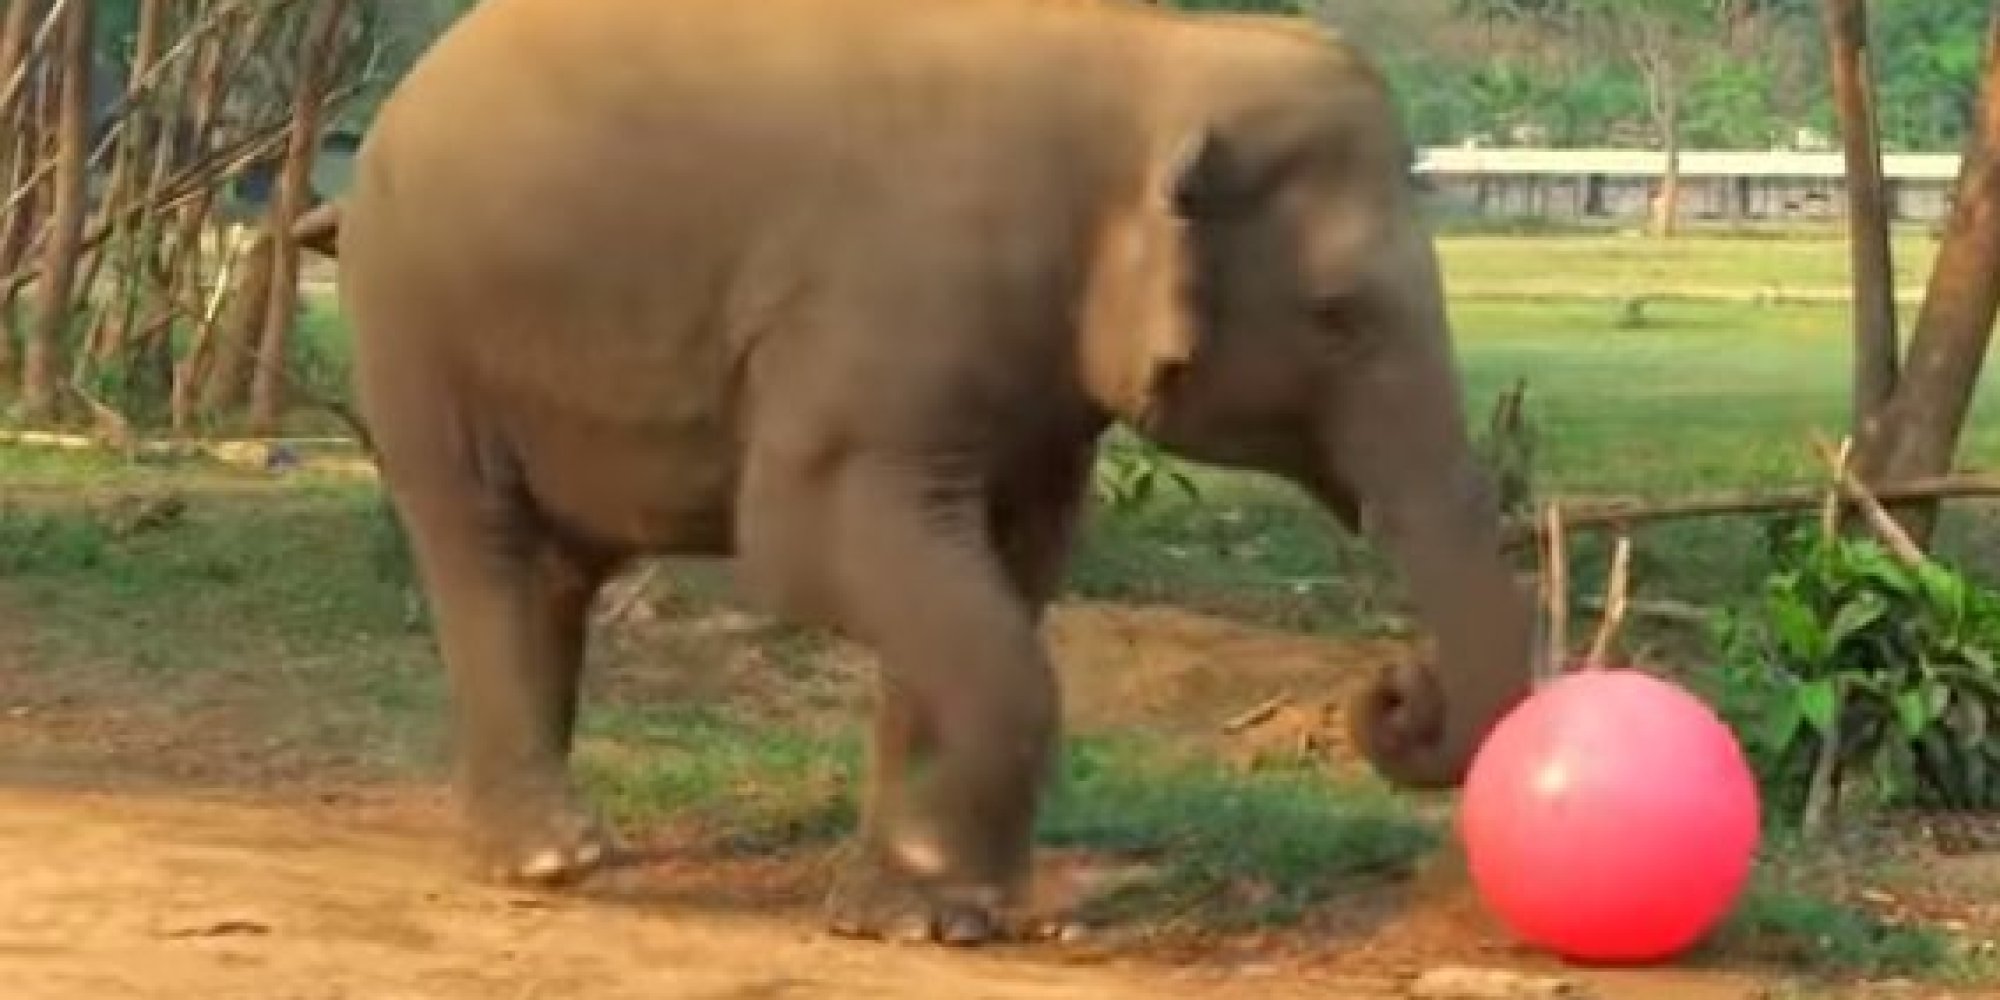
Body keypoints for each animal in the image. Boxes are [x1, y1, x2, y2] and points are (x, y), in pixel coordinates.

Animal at [296, 0, 1533, 946]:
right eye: (1337, 317)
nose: (1393, 689)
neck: (1149, 53)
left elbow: (1002, 565)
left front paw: (925, 911)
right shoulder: (883, 306)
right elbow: (813, 543)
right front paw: (941, 879)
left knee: (553, 573)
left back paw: (534, 850)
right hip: (413, 323)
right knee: (483, 542)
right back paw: (553, 860)